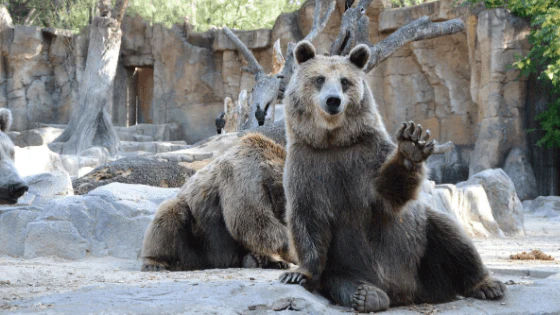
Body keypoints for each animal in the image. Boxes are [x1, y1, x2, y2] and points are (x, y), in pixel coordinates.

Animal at [142, 133, 296, 272]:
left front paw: (278, 260)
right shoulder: (245, 177)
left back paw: (263, 261)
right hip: (197, 238)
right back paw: (155, 263)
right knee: (169, 214)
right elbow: (251, 218)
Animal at [280, 42, 508, 314]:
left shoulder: (366, 157)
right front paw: (297, 274)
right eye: (319, 79)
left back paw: (488, 284)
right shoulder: (308, 166)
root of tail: (406, 292)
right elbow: (307, 218)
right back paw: (367, 295)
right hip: (345, 266)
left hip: (422, 251)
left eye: (345, 81)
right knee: (341, 280)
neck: (333, 141)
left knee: (452, 236)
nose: (333, 100)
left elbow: (389, 194)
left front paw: (411, 144)